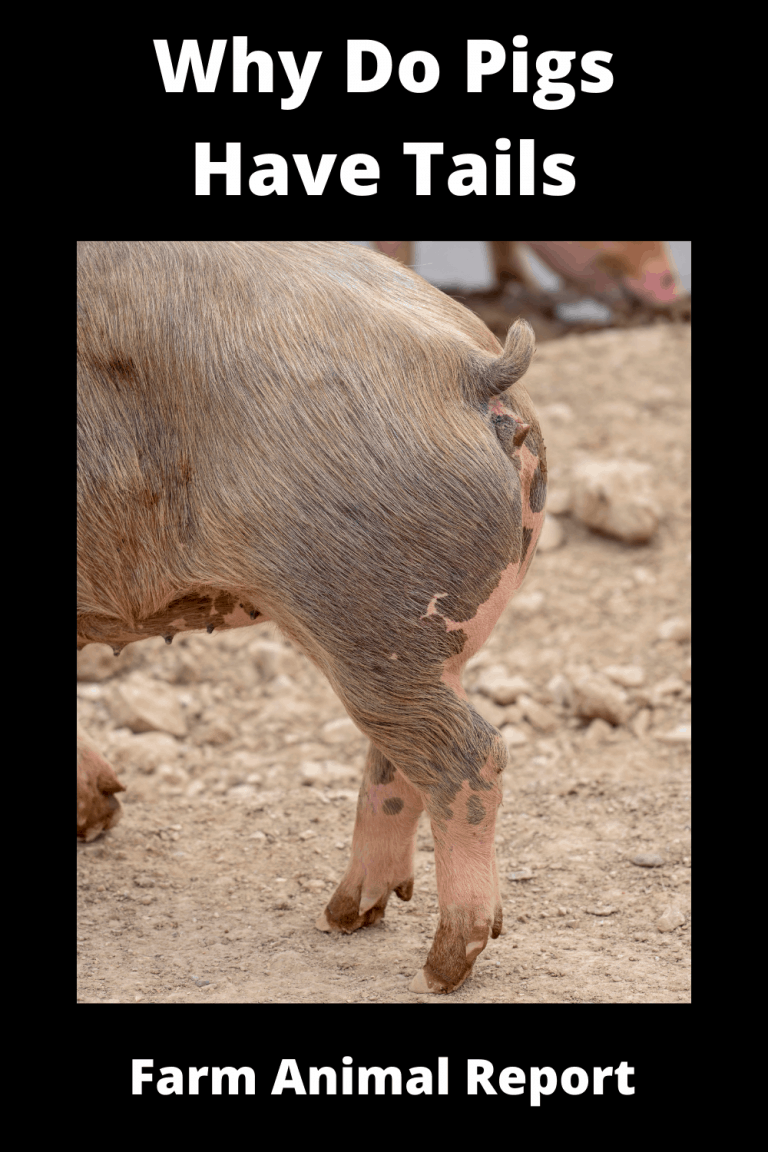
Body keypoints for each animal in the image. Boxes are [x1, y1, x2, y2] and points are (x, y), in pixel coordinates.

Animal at [77, 241, 547, 994]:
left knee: (468, 755)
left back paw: (438, 968)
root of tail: (470, 366)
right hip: (420, 636)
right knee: (401, 757)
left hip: (360, 613)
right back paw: (345, 916)